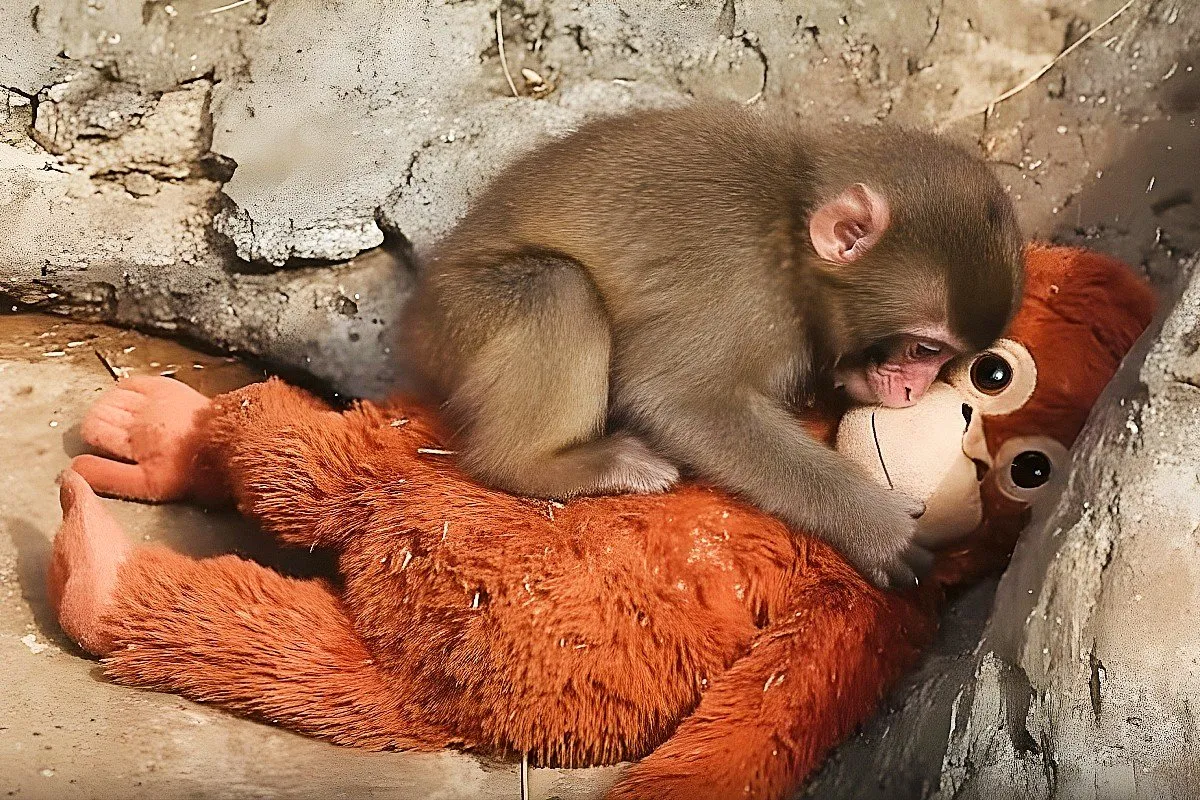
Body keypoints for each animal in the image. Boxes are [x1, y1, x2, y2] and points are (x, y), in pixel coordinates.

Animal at [400, 103, 1023, 588]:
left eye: (949, 359)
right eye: (924, 349)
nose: (914, 389)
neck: (791, 236)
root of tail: (417, 323)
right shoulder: (744, 293)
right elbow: (678, 398)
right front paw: (878, 529)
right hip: (463, 319)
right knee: (557, 290)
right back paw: (540, 467)